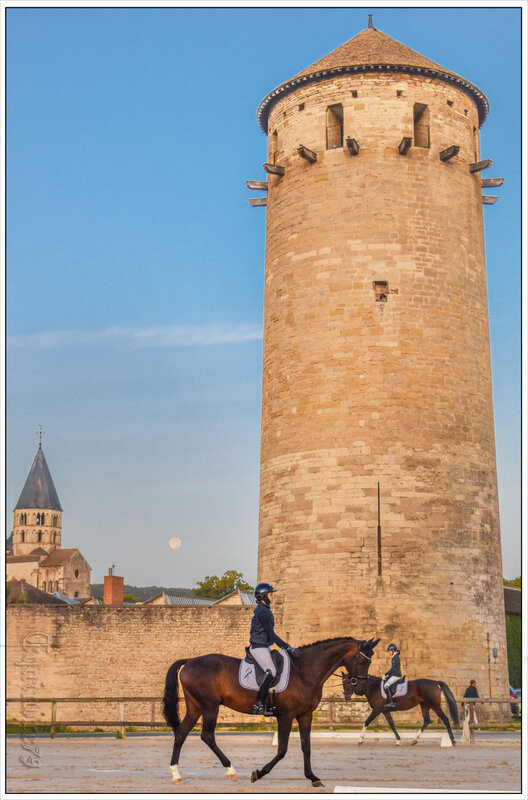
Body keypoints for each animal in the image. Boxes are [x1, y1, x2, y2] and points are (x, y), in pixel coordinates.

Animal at [163, 636, 378, 788]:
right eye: (363, 661)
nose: (360, 688)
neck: (305, 671)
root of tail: (190, 661)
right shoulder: (286, 715)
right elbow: (282, 750)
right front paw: (258, 773)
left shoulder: (305, 715)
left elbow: (306, 746)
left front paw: (313, 777)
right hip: (210, 707)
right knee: (207, 736)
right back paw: (230, 770)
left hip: (196, 707)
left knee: (181, 734)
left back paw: (176, 774)